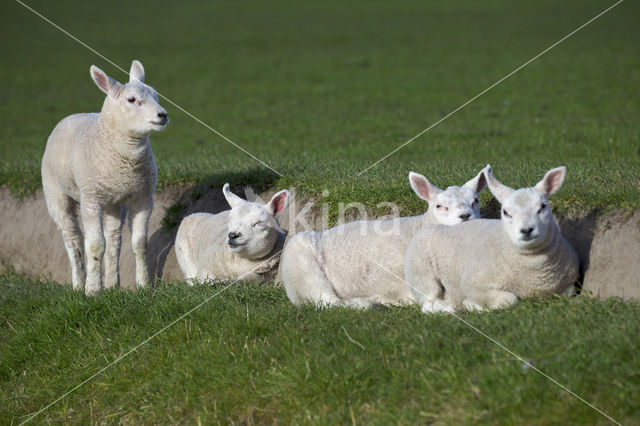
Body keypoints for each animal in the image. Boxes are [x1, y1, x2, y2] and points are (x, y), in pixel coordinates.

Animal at [41, 60, 169, 294]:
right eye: (131, 100)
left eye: (156, 95)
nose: (162, 115)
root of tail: (73, 115)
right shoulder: (91, 198)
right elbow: (94, 245)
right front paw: (92, 290)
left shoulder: (144, 198)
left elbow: (139, 243)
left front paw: (144, 285)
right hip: (56, 193)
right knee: (72, 238)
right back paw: (79, 283)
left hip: (114, 202)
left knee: (114, 239)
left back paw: (112, 284)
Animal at [282, 167, 490, 310]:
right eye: (439, 206)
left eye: (476, 201)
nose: (465, 216)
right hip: (301, 261)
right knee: (327, 300)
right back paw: (366, 303)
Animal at [404, 165, 580, 312]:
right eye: (506, 212)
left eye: (543, 207)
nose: (526, 230)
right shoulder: (472, 283)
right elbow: (509, 299)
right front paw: (472, 304)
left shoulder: (569, 286)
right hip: (422, 275)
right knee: (428, 304)